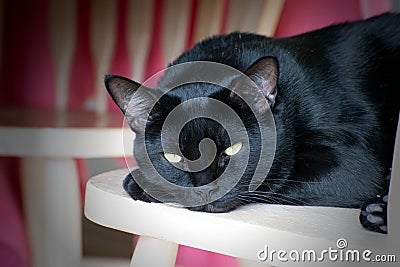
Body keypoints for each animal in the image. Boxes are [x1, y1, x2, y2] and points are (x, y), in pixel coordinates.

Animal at [105, 14, 400, 234]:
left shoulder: (354, 166)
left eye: (233, 149)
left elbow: (273, 181)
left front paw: (139, 182)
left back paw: (378, 214)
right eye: (173, 157)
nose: (206, 190)